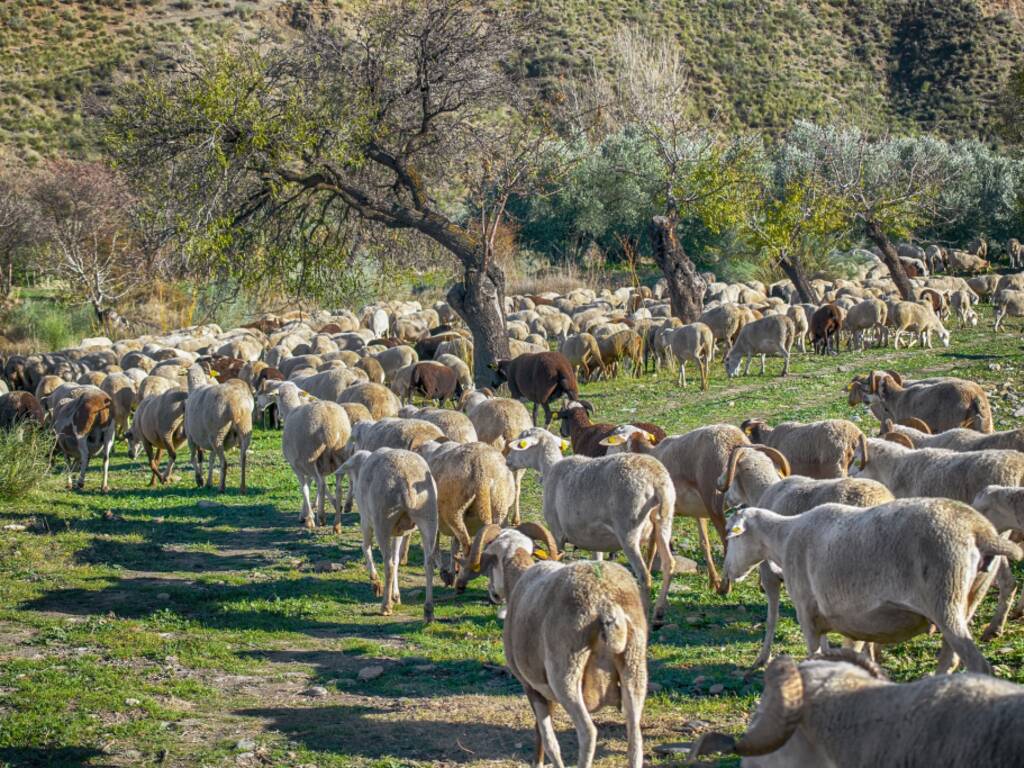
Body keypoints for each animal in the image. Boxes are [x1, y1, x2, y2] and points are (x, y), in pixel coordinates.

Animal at [182, 364, 251, 493]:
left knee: (224, 463)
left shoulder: (190, 437)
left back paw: (221, 487)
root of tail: (236, 408)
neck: (196, 387)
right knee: (243, 459)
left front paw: (200, 480)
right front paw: (208, 482)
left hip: (218, 434)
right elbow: (211, 460)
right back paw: (242, 488)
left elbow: (193, 458)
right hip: (243, 430)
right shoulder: (209, 440)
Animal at [339, 448, 436, 622]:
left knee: (388, 564)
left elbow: (366, 547)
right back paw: (429, 610)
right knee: (428, 563)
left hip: (382, 520)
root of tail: (406, 480)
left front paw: (376, 582)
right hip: (429, 515)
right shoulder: (398, 532)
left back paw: (385, 606)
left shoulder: (366, 519)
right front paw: (396, 595)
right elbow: (397, 559)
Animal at [458, 528, 643, 768]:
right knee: (635, 736)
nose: (493, 595)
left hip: (566, 674)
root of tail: (605, 603)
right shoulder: (546, 690)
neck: (519, 578)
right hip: (634, 667)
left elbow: (548, 738)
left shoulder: (531, 685)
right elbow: (543, 731)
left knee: (588, 733)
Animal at [505, 428, 679, 626]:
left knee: (644, 576)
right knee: (669, 564)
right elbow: (598, 567)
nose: (507, 460)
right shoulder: (596, 540)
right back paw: (659, 613)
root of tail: (656, 481)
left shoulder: (556, 533)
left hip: (629, 528)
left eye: (520, 444)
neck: (550, 469)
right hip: (665, 520)